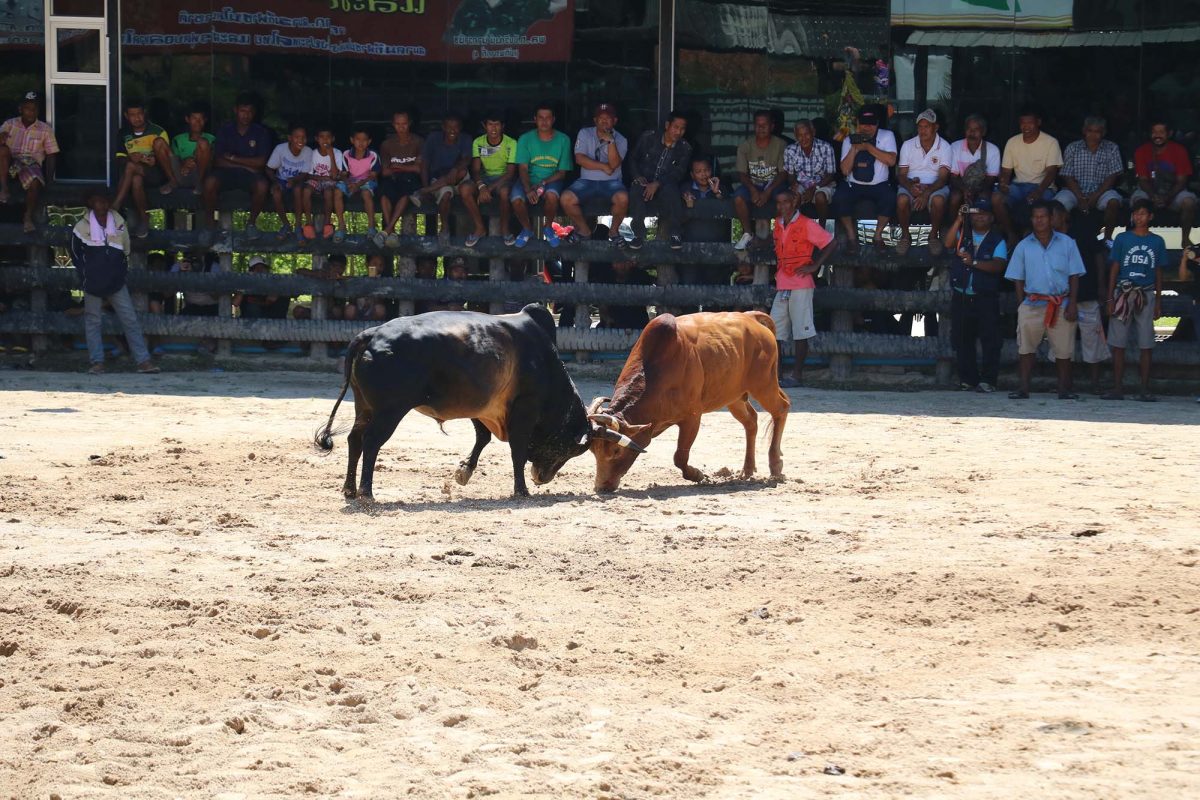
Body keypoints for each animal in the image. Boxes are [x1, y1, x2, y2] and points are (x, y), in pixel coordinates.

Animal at [314, 304, 643, 501]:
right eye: (575, 450)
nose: (541, 479)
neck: (545, 362)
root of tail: (370, 335)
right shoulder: (524, 408)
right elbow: (517, 450)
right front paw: (521, 489)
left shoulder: (482, 406)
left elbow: (482, 438)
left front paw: (464, 471)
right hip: (389, 411)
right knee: (370, 442)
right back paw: (366, 491)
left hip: (364, 407)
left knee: (355, 439)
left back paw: (349, 489)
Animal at [588, 309, 792, 491]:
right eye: (593, 451)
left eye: (616, 451)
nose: (601, 487)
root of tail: (751, 318)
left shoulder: (692, 417)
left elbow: (680, 456)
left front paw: (697, 475)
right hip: (734, 397)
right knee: (751, 421)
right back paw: (747, 470)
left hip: (764, 384)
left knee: (781, 408)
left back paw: (776, 465)